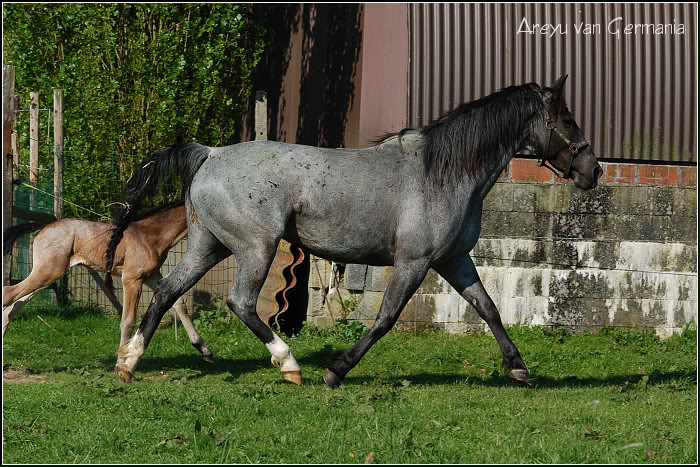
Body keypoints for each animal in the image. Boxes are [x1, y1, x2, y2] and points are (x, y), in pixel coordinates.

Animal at [2, 203, 213, 368]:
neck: (149, 234)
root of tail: (43, 227)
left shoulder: (151, 275)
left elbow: (178, 304)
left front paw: (205, 350)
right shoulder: (132, 279)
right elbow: (128, 320)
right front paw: (121, 363)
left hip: (46, 274)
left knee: (14, 305)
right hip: (48, 272)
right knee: (8, 294)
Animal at [105, 76, 600, 388]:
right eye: (568, 120)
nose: (593, 170)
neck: (442, 173)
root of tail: (210, 153)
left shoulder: (453, 260)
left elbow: (490, 310)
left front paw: (518, 369)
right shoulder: (415, 262)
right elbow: (385, 319)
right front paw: (336, 370)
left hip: (210, 247)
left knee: (166, 291)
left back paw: (128, 363)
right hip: (255, 248)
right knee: (241, 302)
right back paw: (290, 365)